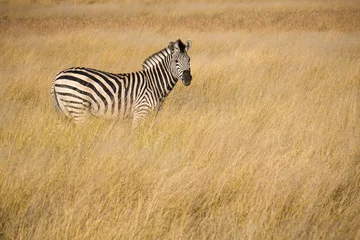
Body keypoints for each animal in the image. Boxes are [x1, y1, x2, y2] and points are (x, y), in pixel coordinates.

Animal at [51, 39, 193, 127]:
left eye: (189, 60)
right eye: (175, 61)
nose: (188, 79)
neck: (154, 84)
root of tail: (58, 76)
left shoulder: (150, 115)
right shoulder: (140, 112)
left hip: (66, 111)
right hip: (77, 107)